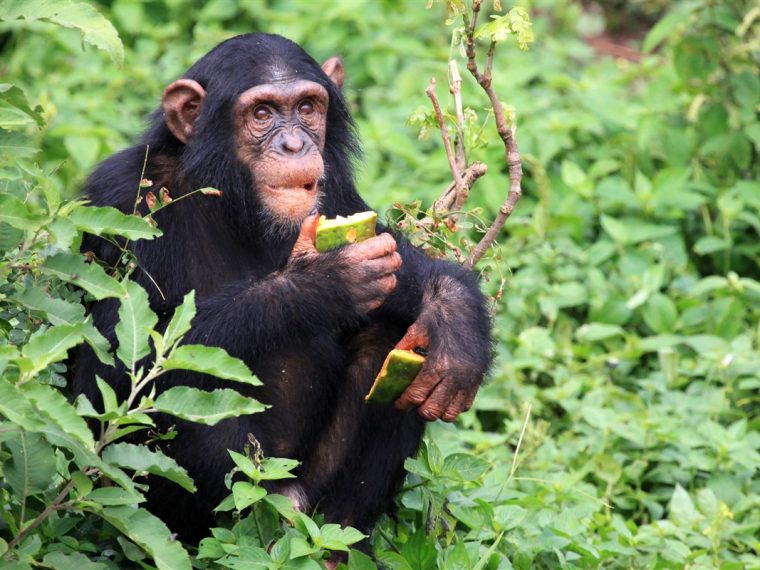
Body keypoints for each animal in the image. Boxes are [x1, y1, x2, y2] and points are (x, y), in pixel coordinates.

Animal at [75, 33, 492, 540]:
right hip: (245, 495)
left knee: (394, 339)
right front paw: (321, 282)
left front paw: (456, 317)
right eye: (262, 114)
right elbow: (113, 376)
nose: (294, 144)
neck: (232, 199)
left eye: (308, 107)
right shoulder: (121, 201)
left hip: (309, 494)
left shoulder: (337, 192)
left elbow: (393, 254)